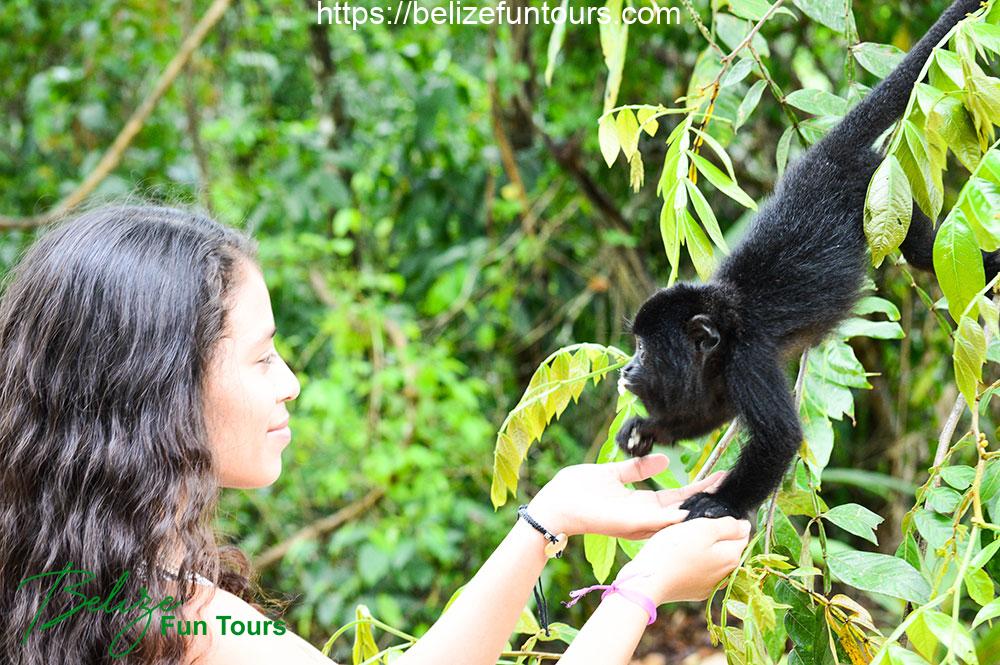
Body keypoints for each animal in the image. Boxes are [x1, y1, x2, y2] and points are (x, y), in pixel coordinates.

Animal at [615, 0, 995, 521]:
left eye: (645, 350)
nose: (626, 371)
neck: (723, 337)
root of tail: (825, 159)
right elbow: (710, 411)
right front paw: (646, 429)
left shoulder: (748, 361)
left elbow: (779, 438)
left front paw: (719, 503)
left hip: (879, 190)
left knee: (923, 251)